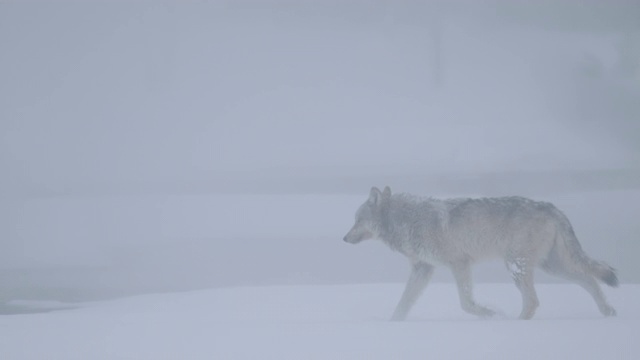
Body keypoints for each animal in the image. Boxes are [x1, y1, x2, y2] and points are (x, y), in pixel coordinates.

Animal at [344, 187, 620, 320]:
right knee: (590, 280)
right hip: (551, 267)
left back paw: (514, 322)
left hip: (517, 266)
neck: (406, 220)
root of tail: (552, 207)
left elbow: (466, 304)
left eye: (357, 220)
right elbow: (402, 306)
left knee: (533, 301)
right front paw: (391, 326)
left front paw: (491, 315)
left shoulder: (459, 263)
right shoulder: (423, 269)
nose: (344, 238)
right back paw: (609, 313)